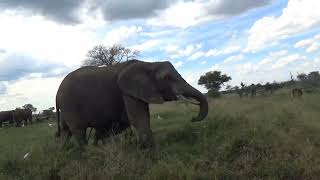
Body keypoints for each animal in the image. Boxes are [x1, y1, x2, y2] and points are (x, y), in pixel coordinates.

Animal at [56, 59, 209, 148]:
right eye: (166, 78)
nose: (193, 118)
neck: (149, 64)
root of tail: (57, 94)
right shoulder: (127, 90)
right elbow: (138, 117)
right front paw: (149, 151)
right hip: (69, 104)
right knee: (79, 131)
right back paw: (88, 155)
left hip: (65, 107)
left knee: (66, 131)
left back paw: (66, 152)